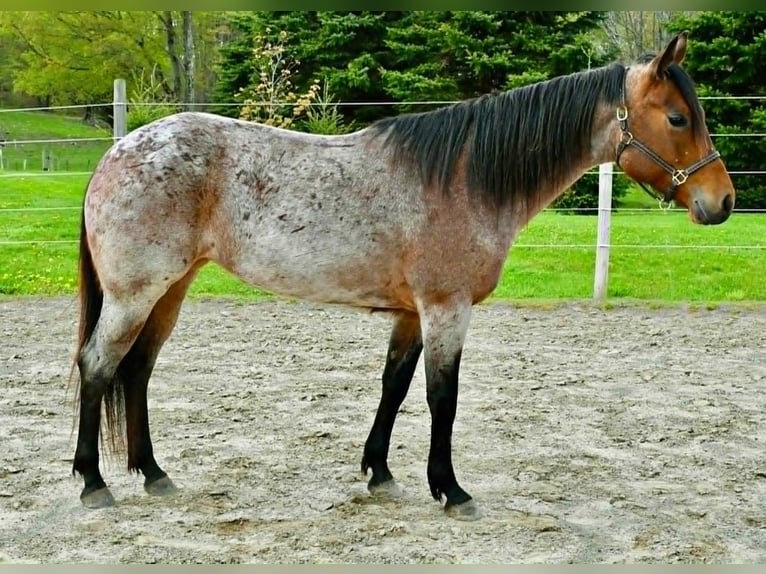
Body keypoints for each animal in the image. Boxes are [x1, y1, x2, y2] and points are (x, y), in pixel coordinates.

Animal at [71, 32, 734, 520]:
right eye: (678, 118)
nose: (722, 202)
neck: (464, 179)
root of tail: (118, 153)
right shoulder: (445, 309)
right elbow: (443, 396)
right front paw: (451, 490)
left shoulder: (412, 314)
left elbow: (394, 386)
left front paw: (381, 475)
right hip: (134, 295)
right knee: (99, 365)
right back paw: (93, 484)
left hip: (169, 291)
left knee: (137, 370)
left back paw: (154, 475)